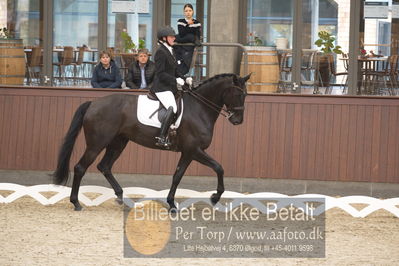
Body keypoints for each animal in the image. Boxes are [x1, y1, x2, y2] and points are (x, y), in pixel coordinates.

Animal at [53, 72, 250, 210]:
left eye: (246, 94)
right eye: (238, 94)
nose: (238, 121)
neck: (199, 108)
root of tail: (93, 103)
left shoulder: (188, 153)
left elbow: (177, 176)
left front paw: (171, 204)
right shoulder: (194, 150)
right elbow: (219, 167)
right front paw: (215, 197)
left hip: (118, 142)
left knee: (105, 166)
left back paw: (122, 198)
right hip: (97, 143)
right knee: (81, 167)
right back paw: (76, 203)